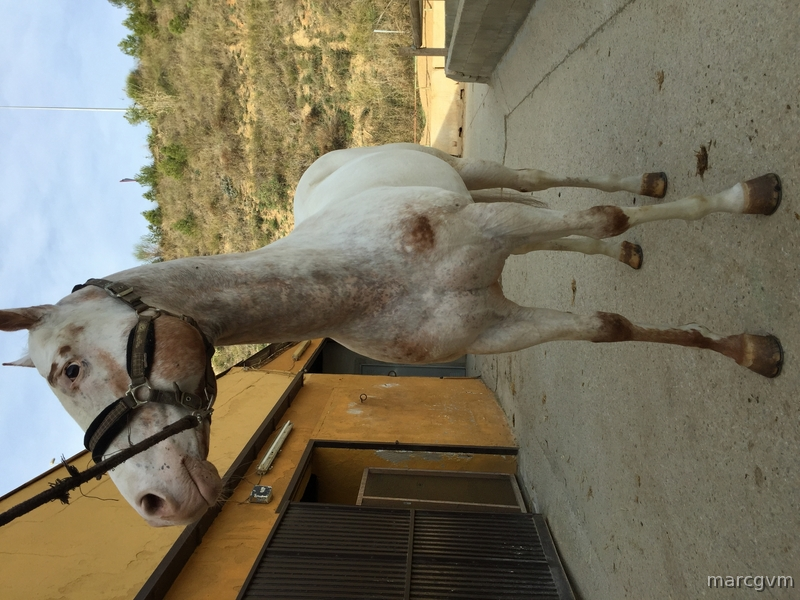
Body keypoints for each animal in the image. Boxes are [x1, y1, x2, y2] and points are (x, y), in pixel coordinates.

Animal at [0, 143, 783, 526]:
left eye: (68, 369)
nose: (158, 506)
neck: (364, 277)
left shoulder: (496, 232)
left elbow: (603, 218)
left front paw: (749, 200)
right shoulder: (496, 325)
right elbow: (607, 327)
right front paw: (752, 352)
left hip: (475, 175)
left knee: (544, 182)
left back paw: (659, 187)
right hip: (478, 194)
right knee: (545, 206)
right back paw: (628, 254)